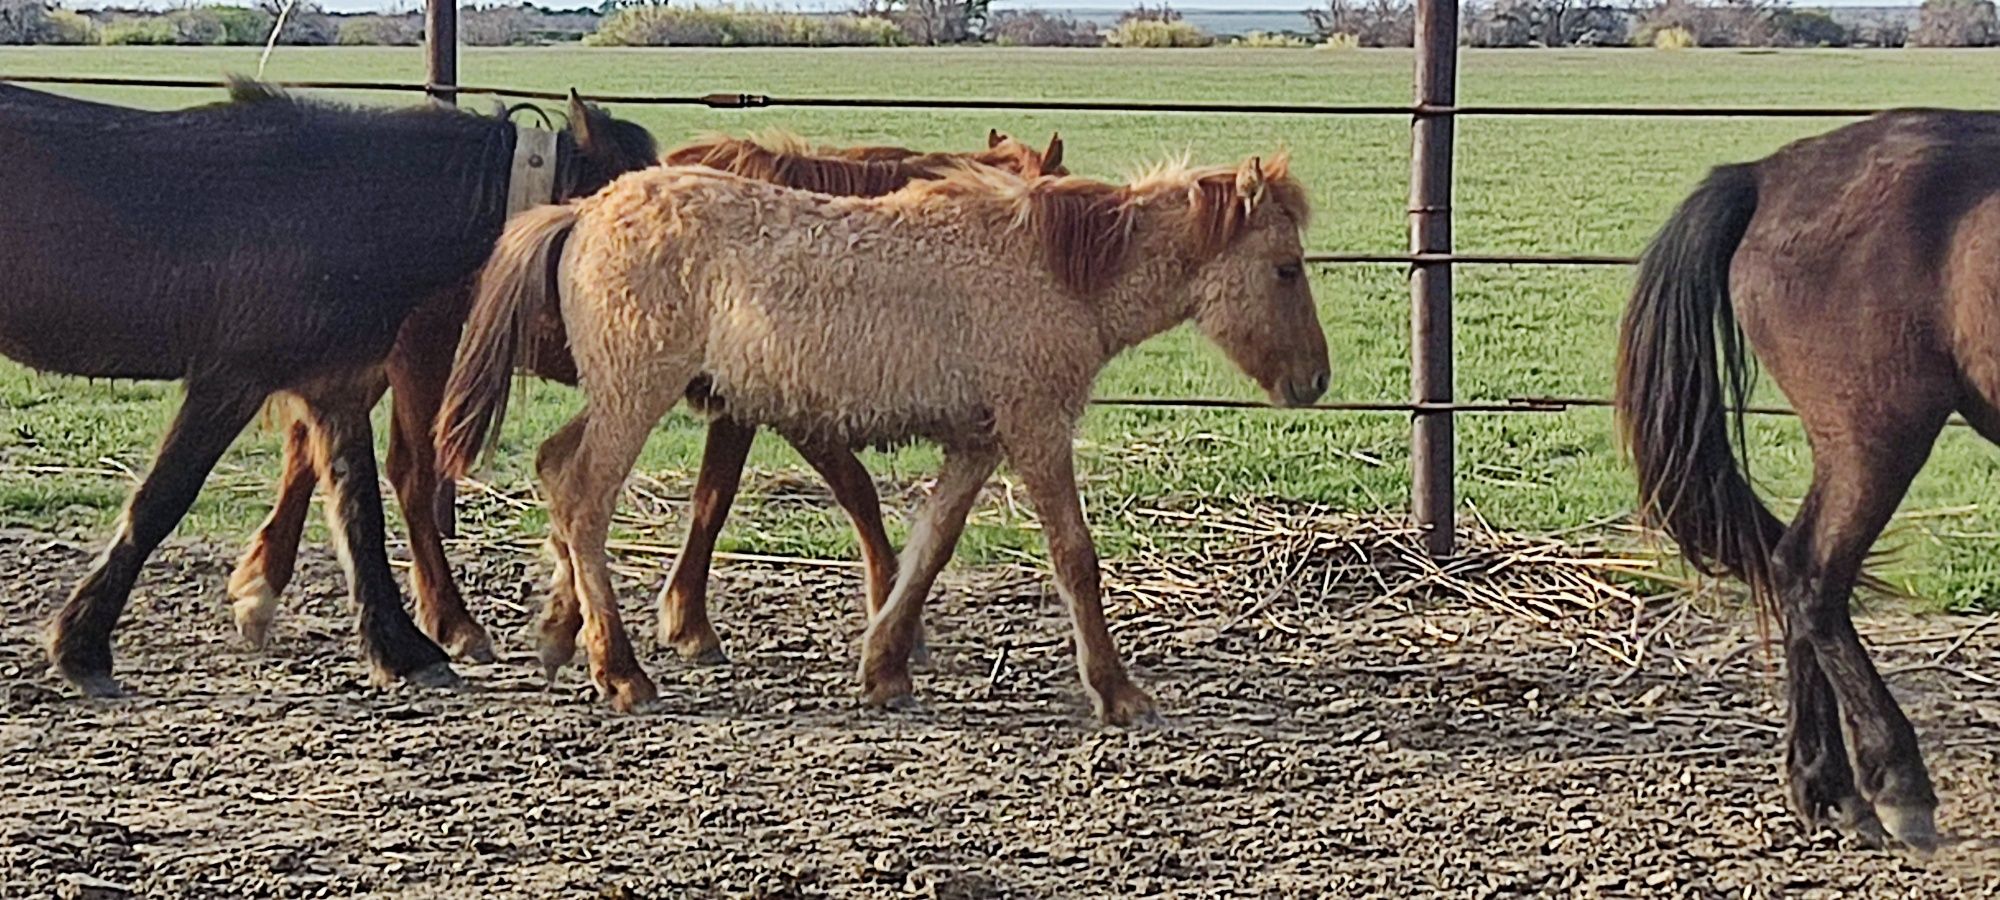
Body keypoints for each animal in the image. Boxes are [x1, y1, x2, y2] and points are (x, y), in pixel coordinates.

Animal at [1, 79, 656, 696]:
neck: (341, 206)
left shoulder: (335, 387)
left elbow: (357, 512)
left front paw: (400, 647)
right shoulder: (232, 378)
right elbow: (161, 500)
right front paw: (81, 646)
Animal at [229, 126, 1072, 676]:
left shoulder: (738, 406)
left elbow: (716, 497)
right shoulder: (781, 406)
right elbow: (830, 492)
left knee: (310, 457)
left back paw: (263, 589)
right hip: (421, 361)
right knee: (406, 471)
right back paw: (450, 621)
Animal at [1608, 109, 2000, 856]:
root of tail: (1767, 176)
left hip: (1846, 445)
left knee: (1791, 567)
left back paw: (1825, 786)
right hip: (1875, 436)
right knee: (1812, 575)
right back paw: (1895, 784)